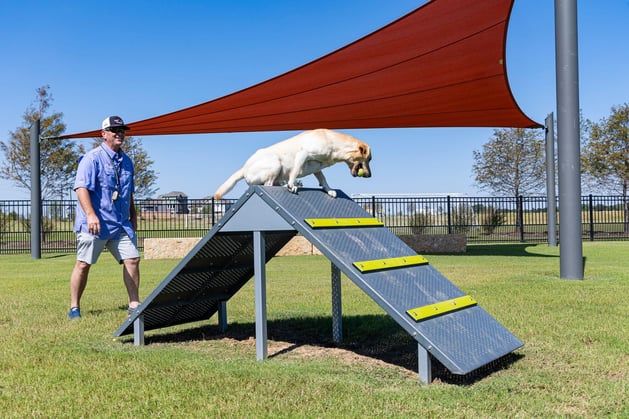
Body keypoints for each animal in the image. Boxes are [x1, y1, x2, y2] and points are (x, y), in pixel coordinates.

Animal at [215, 128, 370, 200]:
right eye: (369, 159)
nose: (369, 176)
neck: (334, 144)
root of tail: (244, 168)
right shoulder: (303, 154)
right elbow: (294, 172)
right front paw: (291, 185)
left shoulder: (317, 168)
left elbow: (324, 180)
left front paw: (329, 190)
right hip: (275, 164)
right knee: (268, 184)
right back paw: (285, 186)